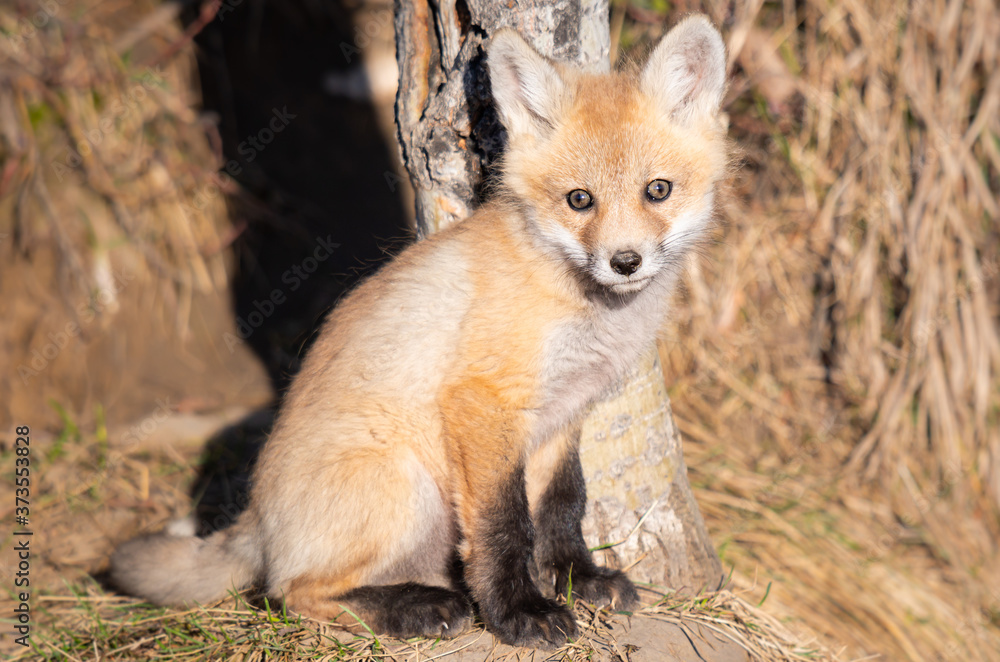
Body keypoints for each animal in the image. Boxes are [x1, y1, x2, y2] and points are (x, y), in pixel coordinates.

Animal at [110, 14, 729, 648]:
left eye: (658, 190)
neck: (581, 306)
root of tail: (255, 518)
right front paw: (519, 613)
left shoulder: (565, 414)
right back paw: (416, 609)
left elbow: (563, 505)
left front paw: (580, 579)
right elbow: (504, 526)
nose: (625, 262)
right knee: (289, 592)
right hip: (405, 489)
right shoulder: (483, 403)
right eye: (580, 200)